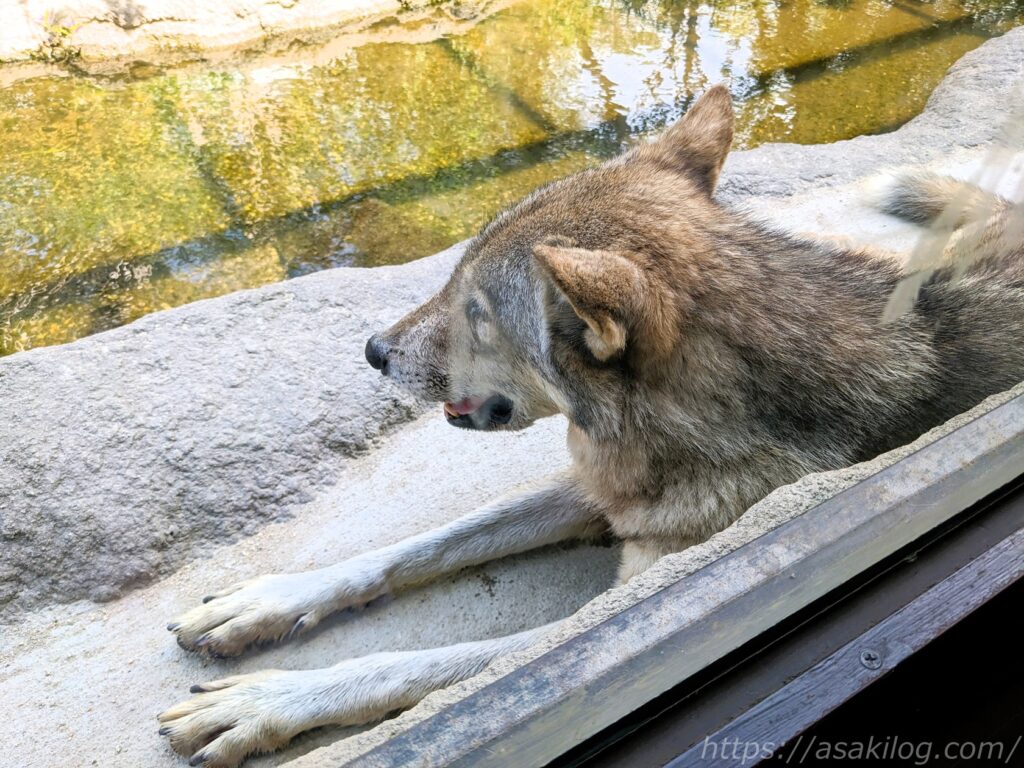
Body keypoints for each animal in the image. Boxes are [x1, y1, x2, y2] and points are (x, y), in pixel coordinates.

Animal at [158, 86, 1024, 767]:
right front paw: (266, 603)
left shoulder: (633, 597)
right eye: (452, 279)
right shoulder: (594, 489)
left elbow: (420, 666)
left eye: (477, 312)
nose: (373, 351)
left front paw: (262, 704)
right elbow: (416, 547)